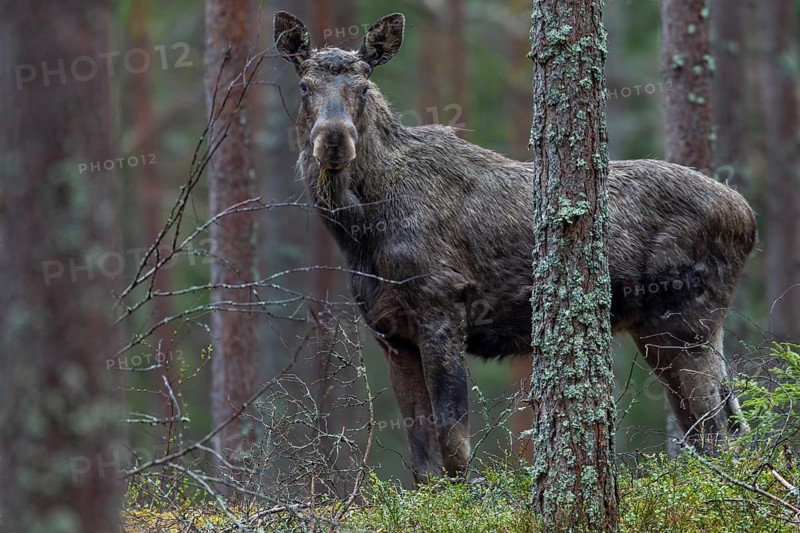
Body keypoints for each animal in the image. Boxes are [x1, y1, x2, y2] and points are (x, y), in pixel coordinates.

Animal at [273, 11, 756, 482]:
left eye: (364, 85)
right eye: (303, 85)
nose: (334, 139)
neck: (360, 231)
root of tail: (749, 219)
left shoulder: (443, 305)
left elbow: (454, 445)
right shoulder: (390, 331)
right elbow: (422, 461)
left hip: (685, 323)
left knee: (718, 435)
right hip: (668, 331)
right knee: (726, 426)